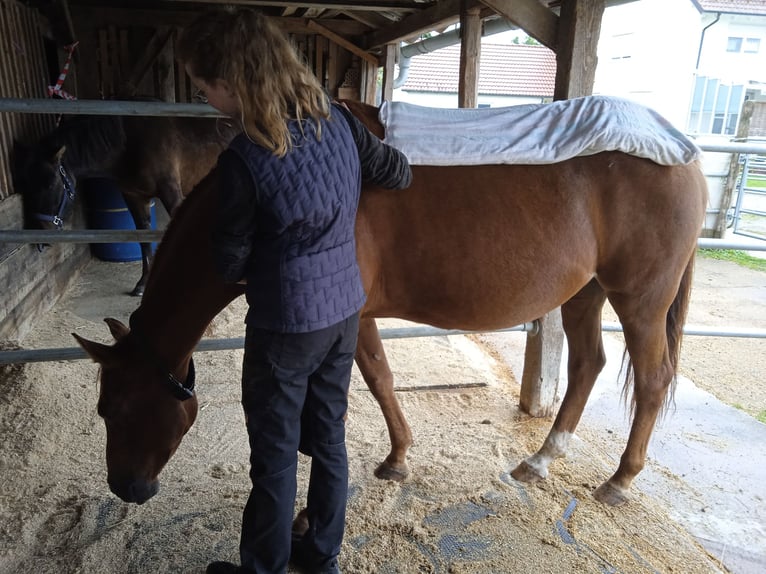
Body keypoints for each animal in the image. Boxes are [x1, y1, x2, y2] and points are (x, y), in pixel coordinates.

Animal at [14, 112, 237, 295]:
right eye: (25, 185)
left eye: (50, 183)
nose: (40, 231)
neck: (129, 143)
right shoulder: (134, 197)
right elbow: (144, 239)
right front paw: (142, 284)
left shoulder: (172, 194)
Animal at [73, 99, 707, 509]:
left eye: (116, 409)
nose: (126, 488)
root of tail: (685, 153)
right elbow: (377, 379)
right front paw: (395, 456)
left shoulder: (347, 318)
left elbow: (376, 379)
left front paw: (393, 459)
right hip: (585, 292)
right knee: (587, 366)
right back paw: (540, 461)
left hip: (640, 300)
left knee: (651, 379)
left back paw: (620, 481)